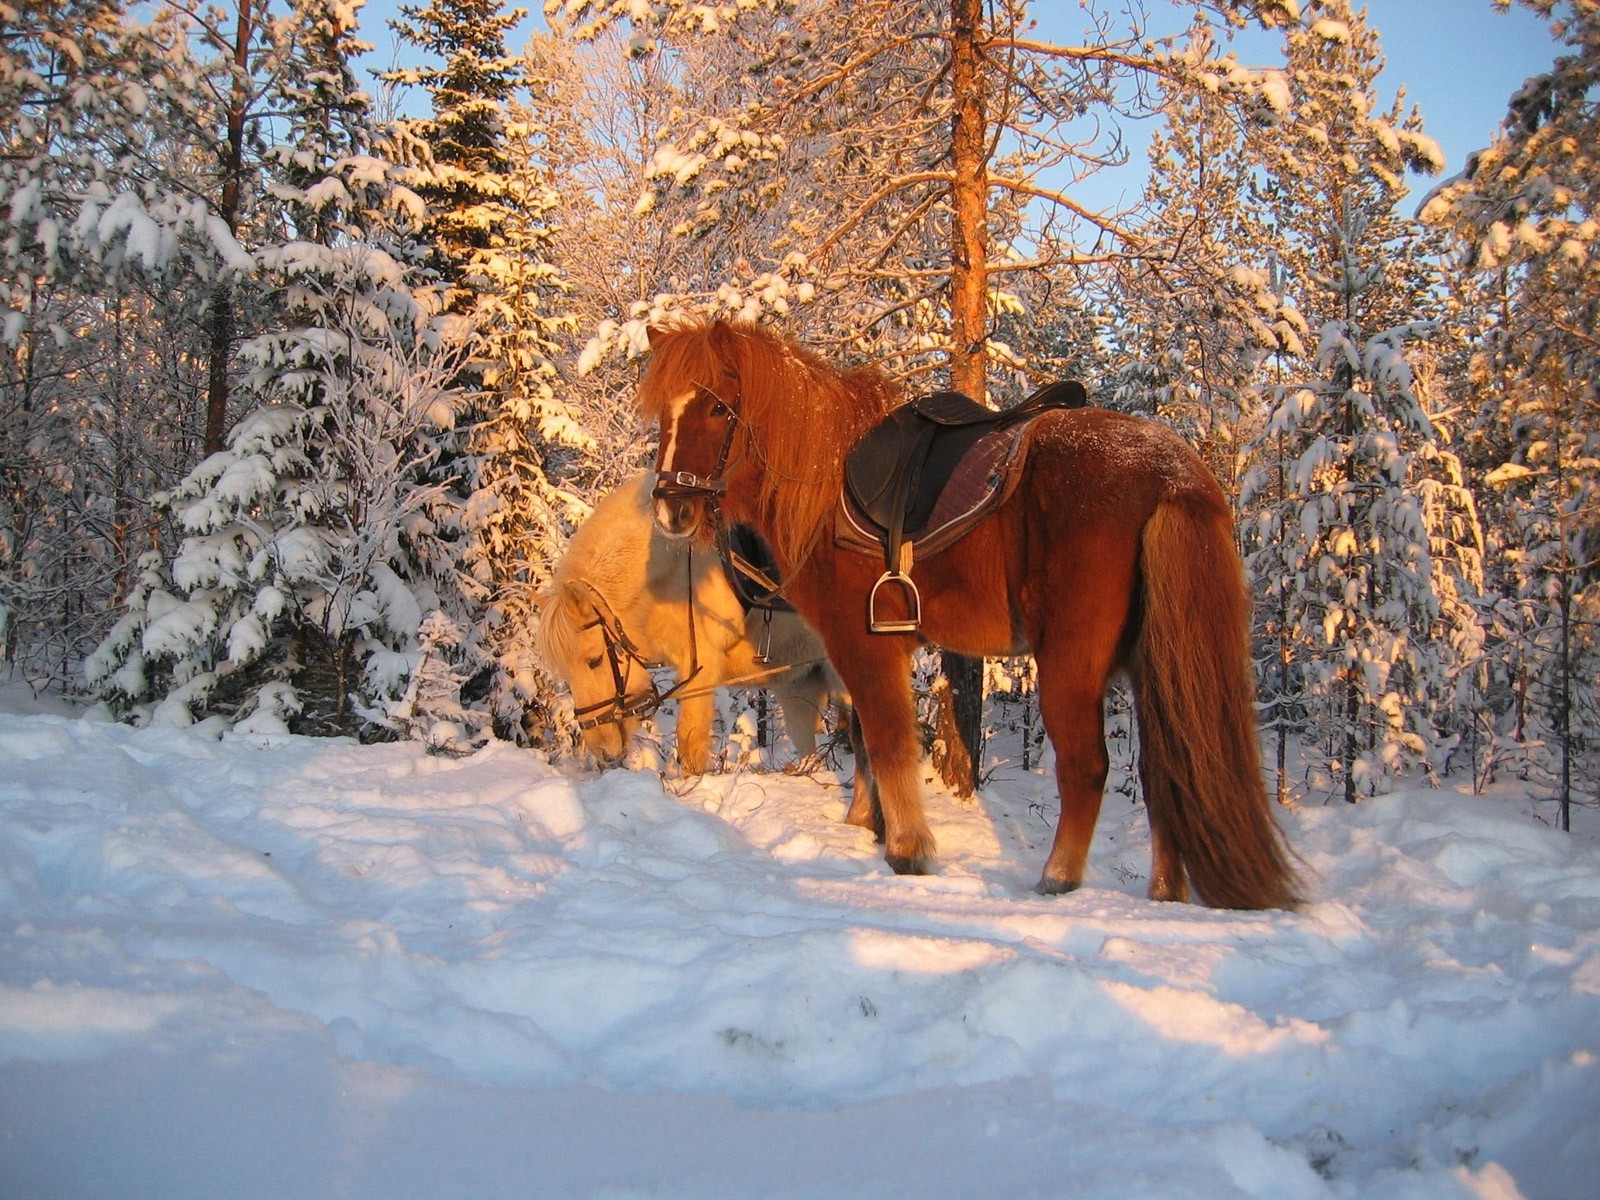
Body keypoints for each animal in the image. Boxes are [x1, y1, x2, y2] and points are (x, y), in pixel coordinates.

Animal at [537, 470, 838, 771]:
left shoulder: (701, 667)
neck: (673, 567)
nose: (603, 750)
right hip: (799, 688)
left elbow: (690, 743)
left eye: (595, 660)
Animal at [636, 320, 1299, 908]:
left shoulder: (862, 644)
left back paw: (1057, 877)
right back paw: (1164, 892)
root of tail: (1171, 474)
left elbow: (887, 741)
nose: (670, 510)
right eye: (662, 413)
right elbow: (864, 738)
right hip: (1153, 664)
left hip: (1071, 666)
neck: (824, 481)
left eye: (717, 408)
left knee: (1087, 768)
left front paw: (907, 850)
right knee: (1168, 769)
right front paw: (865, 825)